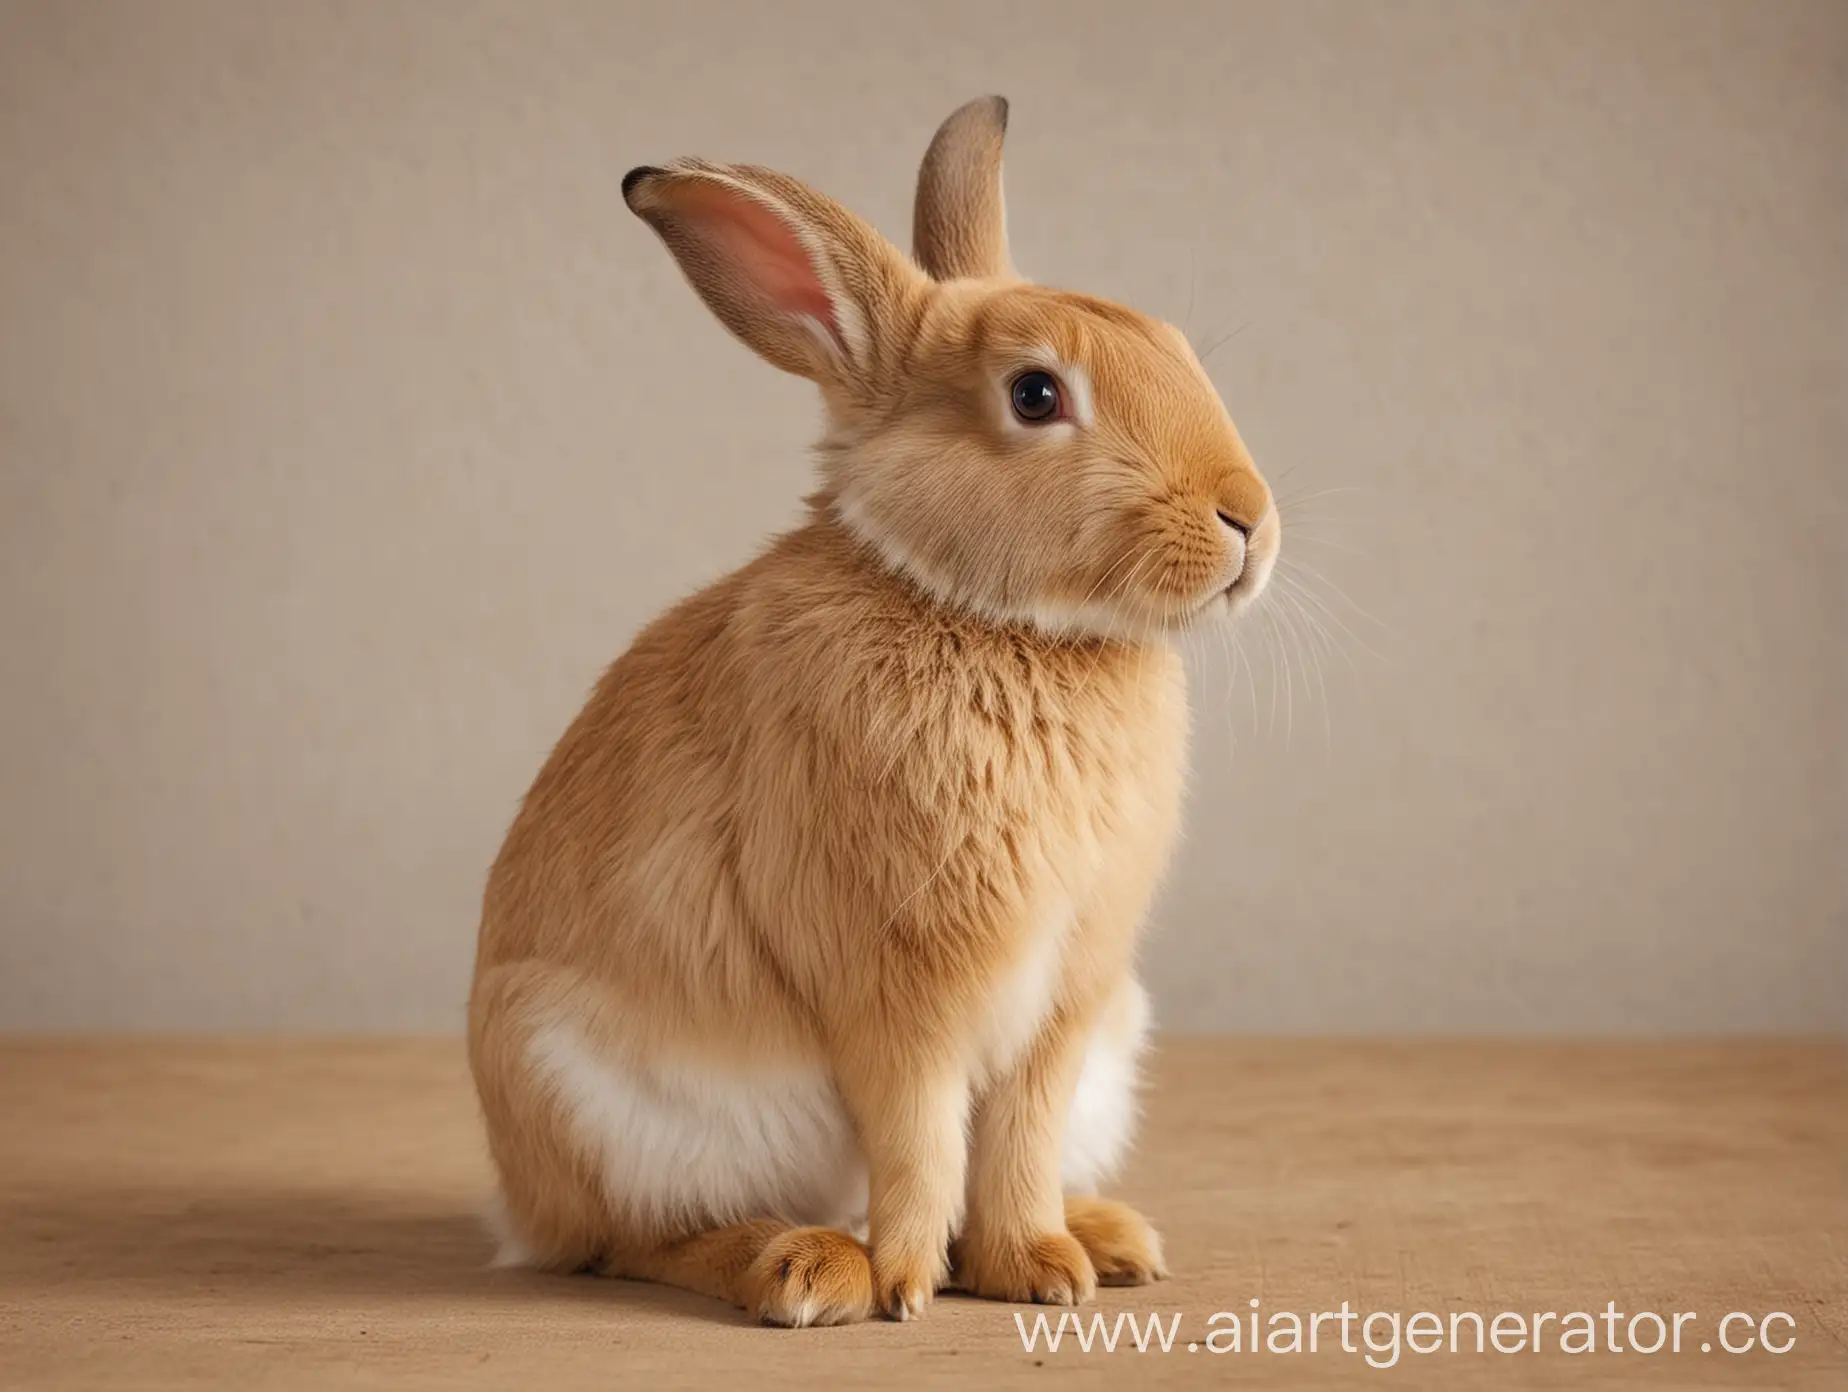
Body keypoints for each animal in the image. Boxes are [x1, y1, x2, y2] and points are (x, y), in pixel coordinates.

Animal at [469, 95, 1278, 1323]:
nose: (1250, 520)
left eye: (1177, 347)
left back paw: (1108, 1236)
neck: (990, 617)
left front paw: (1038, 1269)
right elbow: (919, 1137)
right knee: (628, 1241)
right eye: (1035, 395)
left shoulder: (1066, 1002)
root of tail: (520, 1206)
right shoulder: (897, 992)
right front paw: (905, 1283)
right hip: (592, 1096)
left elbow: (1018, 1141)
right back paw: (805, 1268)